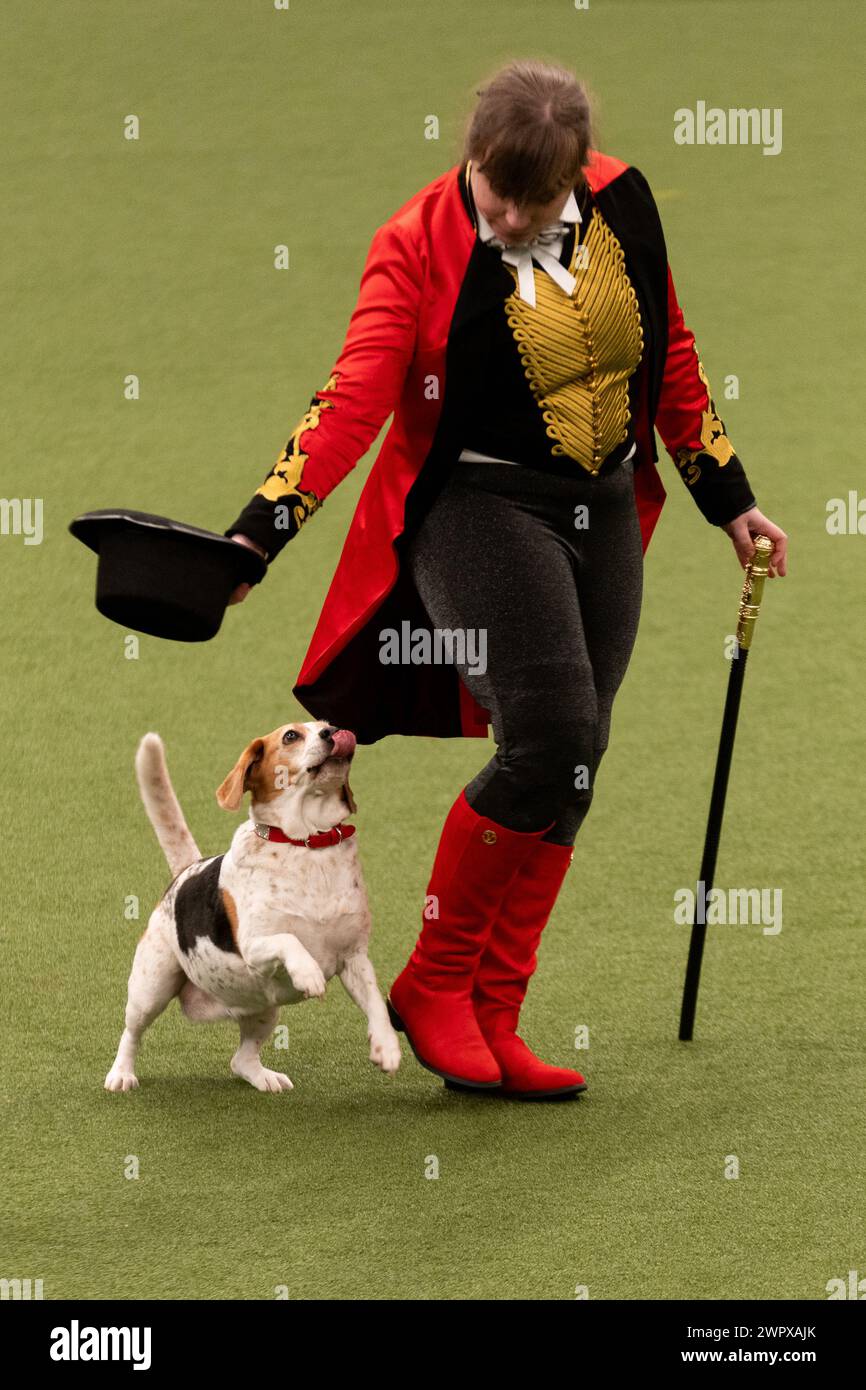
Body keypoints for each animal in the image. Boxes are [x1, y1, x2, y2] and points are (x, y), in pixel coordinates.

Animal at [104, 722, 400, 1089]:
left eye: (326, 724)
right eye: (291, 736)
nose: (333, 732)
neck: (307, 844)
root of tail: (188, 869)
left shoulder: (354, 957)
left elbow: (375, 1001)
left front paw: (387, 1048)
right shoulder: (253, 947)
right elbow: (290, 940)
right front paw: (309, 974)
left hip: (264, 1009)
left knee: (241, 1059)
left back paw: (264, 1078)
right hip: (151, 987)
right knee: (131, 1033)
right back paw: (121, 1074)